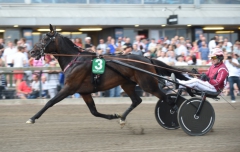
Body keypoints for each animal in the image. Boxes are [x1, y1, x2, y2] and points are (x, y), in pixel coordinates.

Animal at [27, 24, 190, 126]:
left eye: (45, 39)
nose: (32, 52)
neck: (74, 60)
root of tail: (147, 58)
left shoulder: (69, 87)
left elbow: (50, 102)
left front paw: (32, 118)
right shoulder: (84, 92)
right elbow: (94, 111)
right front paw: (114, 116)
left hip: (148, 84)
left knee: (168, 99)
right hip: (127, 84)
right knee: (137, 100)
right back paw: (122, 118)